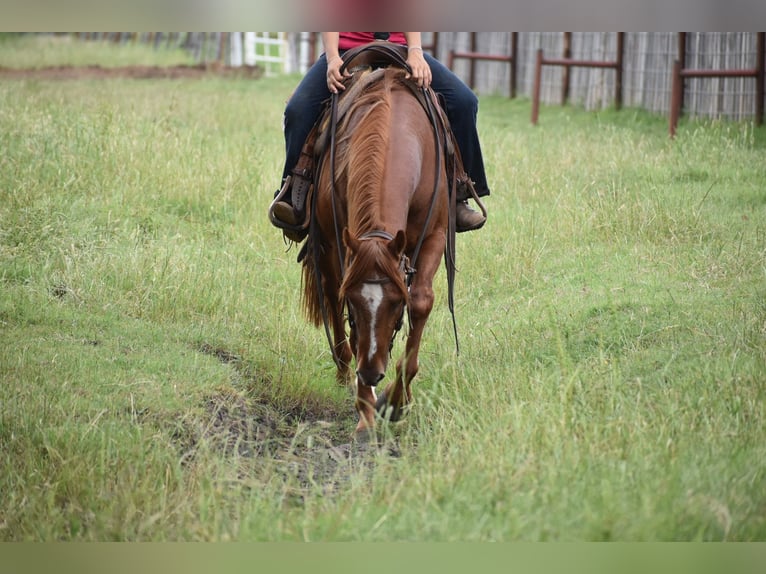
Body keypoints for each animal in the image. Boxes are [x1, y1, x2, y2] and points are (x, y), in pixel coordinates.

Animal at [300, 48, 459, 434]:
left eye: (395, 304)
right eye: (355, 304)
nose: (371, 373)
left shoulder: (434, 235)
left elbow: (422, 301)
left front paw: (396, 401)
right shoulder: (340, 241)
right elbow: (339, 299)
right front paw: (366, 410)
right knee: (329, 294)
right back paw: (345, 371)